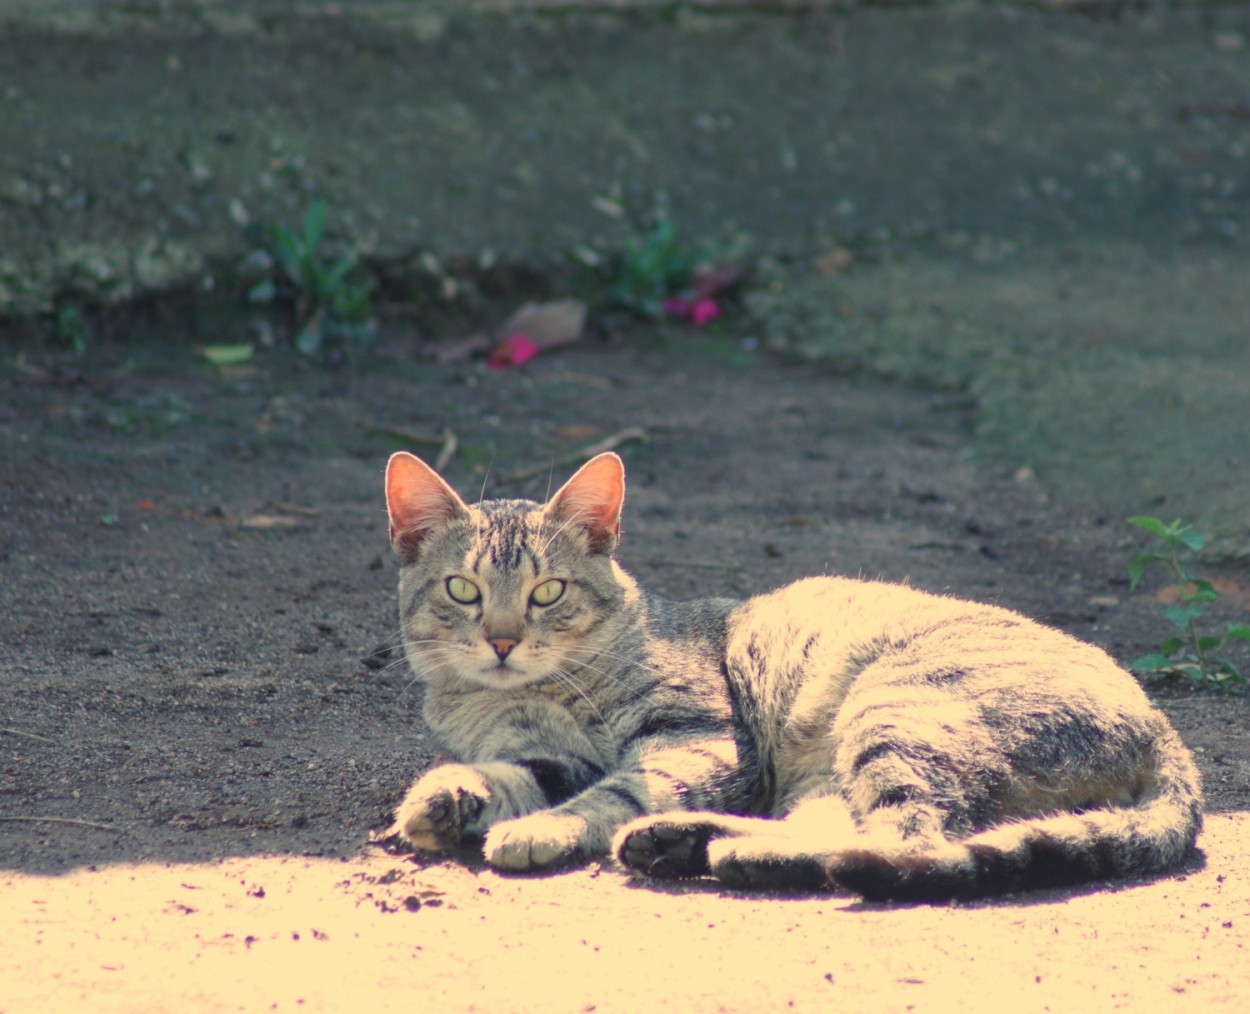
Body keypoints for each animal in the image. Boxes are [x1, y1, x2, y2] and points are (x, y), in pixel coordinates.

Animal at [380, 452, 1200, 905]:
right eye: (463, 590)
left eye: (547, 591)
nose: (502, 641)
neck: (523, 695)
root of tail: (1166, 731)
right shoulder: (549, 752)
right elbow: (512, 772)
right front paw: (447, 799)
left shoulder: (700, 738)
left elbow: (612, 792)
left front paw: (541, 828)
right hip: (838, 766)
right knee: (840, 829)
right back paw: (686, 844)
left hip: (894, 712)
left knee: (906, 843)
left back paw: (712, 849)